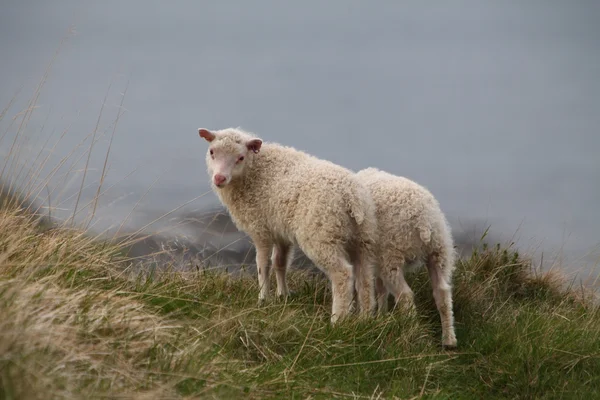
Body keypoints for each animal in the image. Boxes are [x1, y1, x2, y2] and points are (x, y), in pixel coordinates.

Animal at [196, 126, 376, 324]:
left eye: (240, 157)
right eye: (212, 152)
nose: (219, 178)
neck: (254, 172)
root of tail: (352, 197)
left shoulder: (260, 229)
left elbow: (263, 264)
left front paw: (263, 299)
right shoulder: (280, 231)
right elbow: (279, 262)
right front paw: (283, 296)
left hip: (322, 235)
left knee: (342, 274)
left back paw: (337, 319)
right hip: (363, 238)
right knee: (365, 276)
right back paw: (366, 317)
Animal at [354, 167, 458, 348]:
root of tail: (424, 221)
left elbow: (367, 286)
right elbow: (380, 288)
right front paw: (381, 316)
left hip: (392, 255)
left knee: (405, 295)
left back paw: (412, 331)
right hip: (439, 251)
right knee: (443, 293)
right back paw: (448, 340)